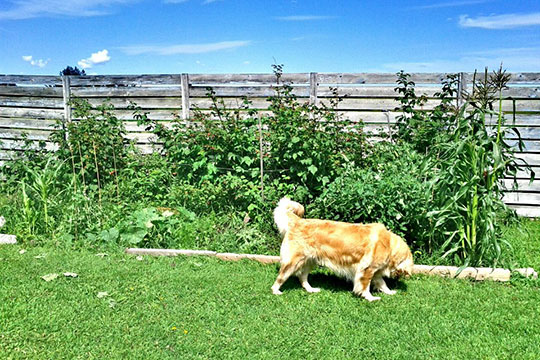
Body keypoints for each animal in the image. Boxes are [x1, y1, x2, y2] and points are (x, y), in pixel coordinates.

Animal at [270, 197, 414, 300]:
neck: (388, 244)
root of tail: (298, 221)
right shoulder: (367, 269)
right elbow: (365, 286)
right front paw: (370, 298)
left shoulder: (375, 272)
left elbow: (382, 283)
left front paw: (389, 292)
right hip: (292, 261)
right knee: (281, 277)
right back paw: (276, 291)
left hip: (310, 261)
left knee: (302, 276)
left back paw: (311, 289)